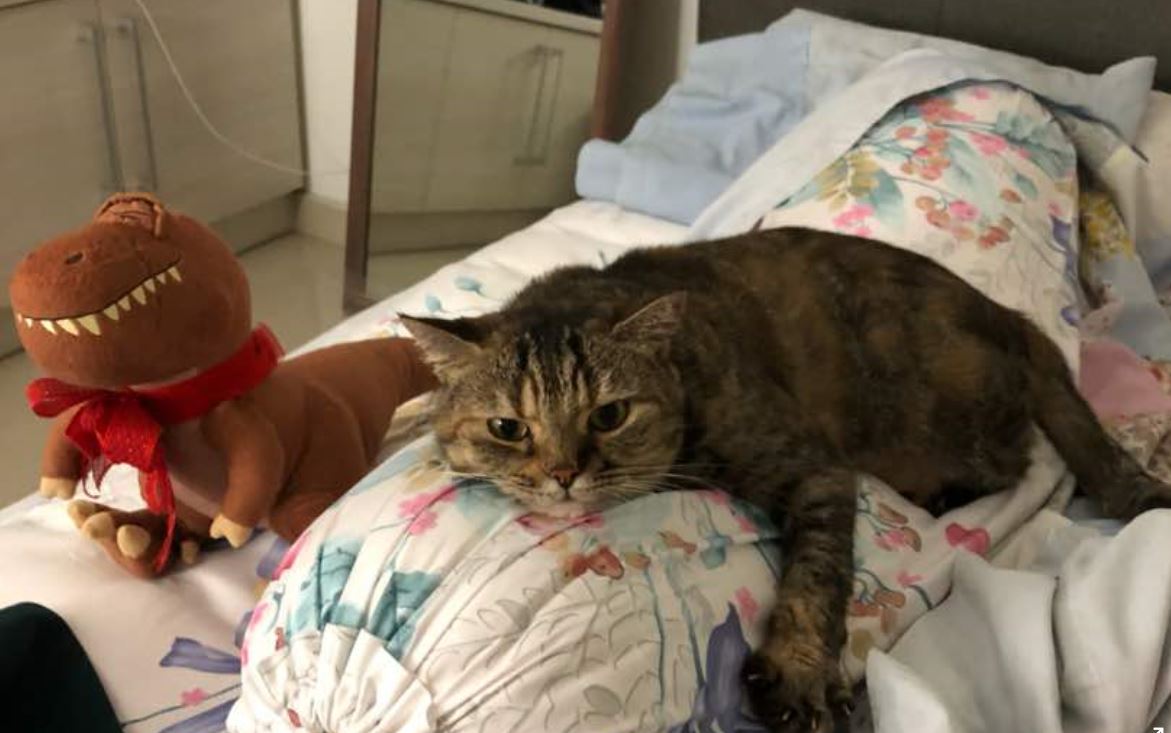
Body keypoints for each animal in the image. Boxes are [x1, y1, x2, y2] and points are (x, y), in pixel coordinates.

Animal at [401, 227, 1171, 733]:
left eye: (609, 414)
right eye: (508, 427)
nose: (562, 474)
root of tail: (1019, 321)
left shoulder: (814, 466)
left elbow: (817, 575)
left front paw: (799, 667)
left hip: (921, 411)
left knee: (1015, 460)